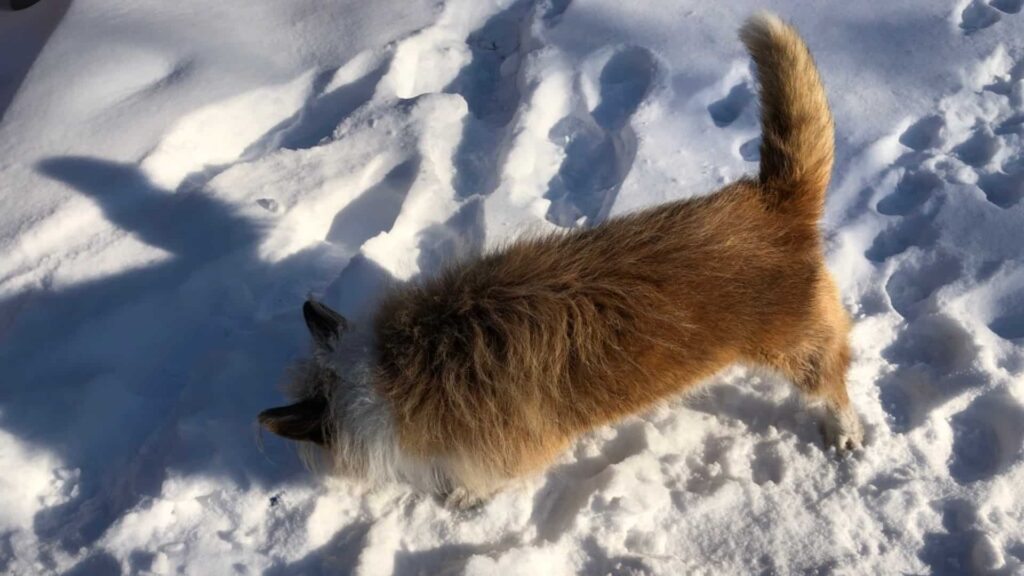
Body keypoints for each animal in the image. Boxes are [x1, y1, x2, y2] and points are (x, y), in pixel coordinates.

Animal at [258, 13, 864, 504]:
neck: (399, 367)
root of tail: (771, 198)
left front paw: (465, 496)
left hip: (795, 345)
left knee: (832, 368)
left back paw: (843, 426)